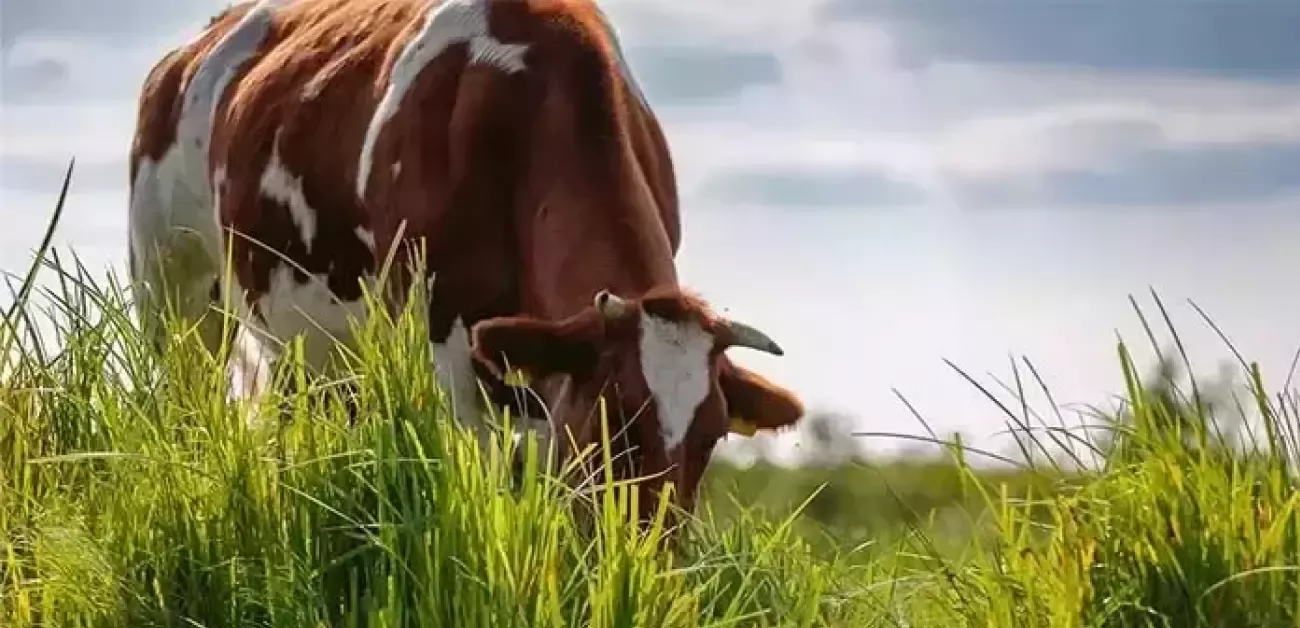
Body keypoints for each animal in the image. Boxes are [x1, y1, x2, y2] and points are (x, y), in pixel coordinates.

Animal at [127, 0, 805, 524]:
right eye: (612, 421)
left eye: (711, 436)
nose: (650, 556)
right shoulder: (447, 354)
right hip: (174, 295)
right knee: (184, 405)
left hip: (314, 349)